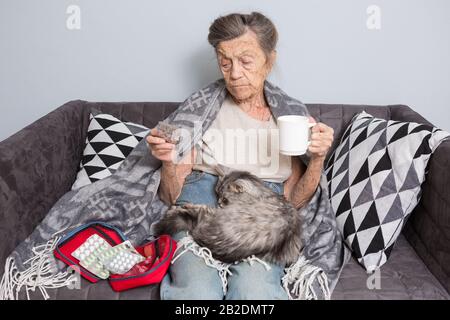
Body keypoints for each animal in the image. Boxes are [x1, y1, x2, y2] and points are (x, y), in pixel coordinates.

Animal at [153, 168, 304, 264]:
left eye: (225, 199)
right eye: (217, 194)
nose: (219, 203)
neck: (263, 194)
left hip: (211, 213)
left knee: (192, 210)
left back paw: (176, 208)